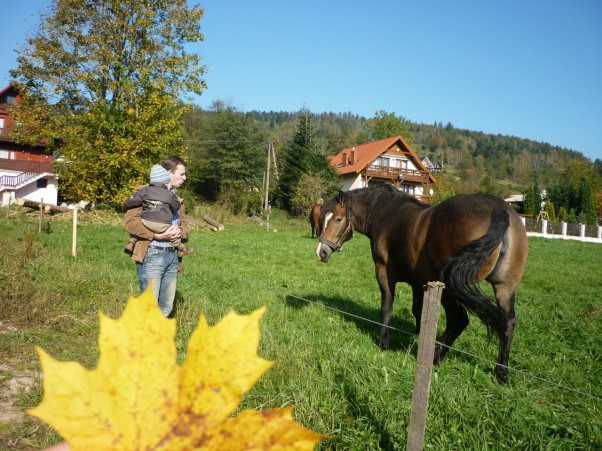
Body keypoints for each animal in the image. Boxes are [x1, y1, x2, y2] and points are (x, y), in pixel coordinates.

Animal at [314, 185, 524, 384]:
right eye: (323, 219)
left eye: (338, 219)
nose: (321, 252)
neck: (385, 212)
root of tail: (497, 209)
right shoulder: (418, 282)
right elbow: (418, 310)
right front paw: (419, 336)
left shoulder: (383, 273)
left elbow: (387, 309)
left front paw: (384, 342)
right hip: (504, 287)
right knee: (508, 322)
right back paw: (501, 371)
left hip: (450, 288)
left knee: (458, 320)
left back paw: (436, 356)